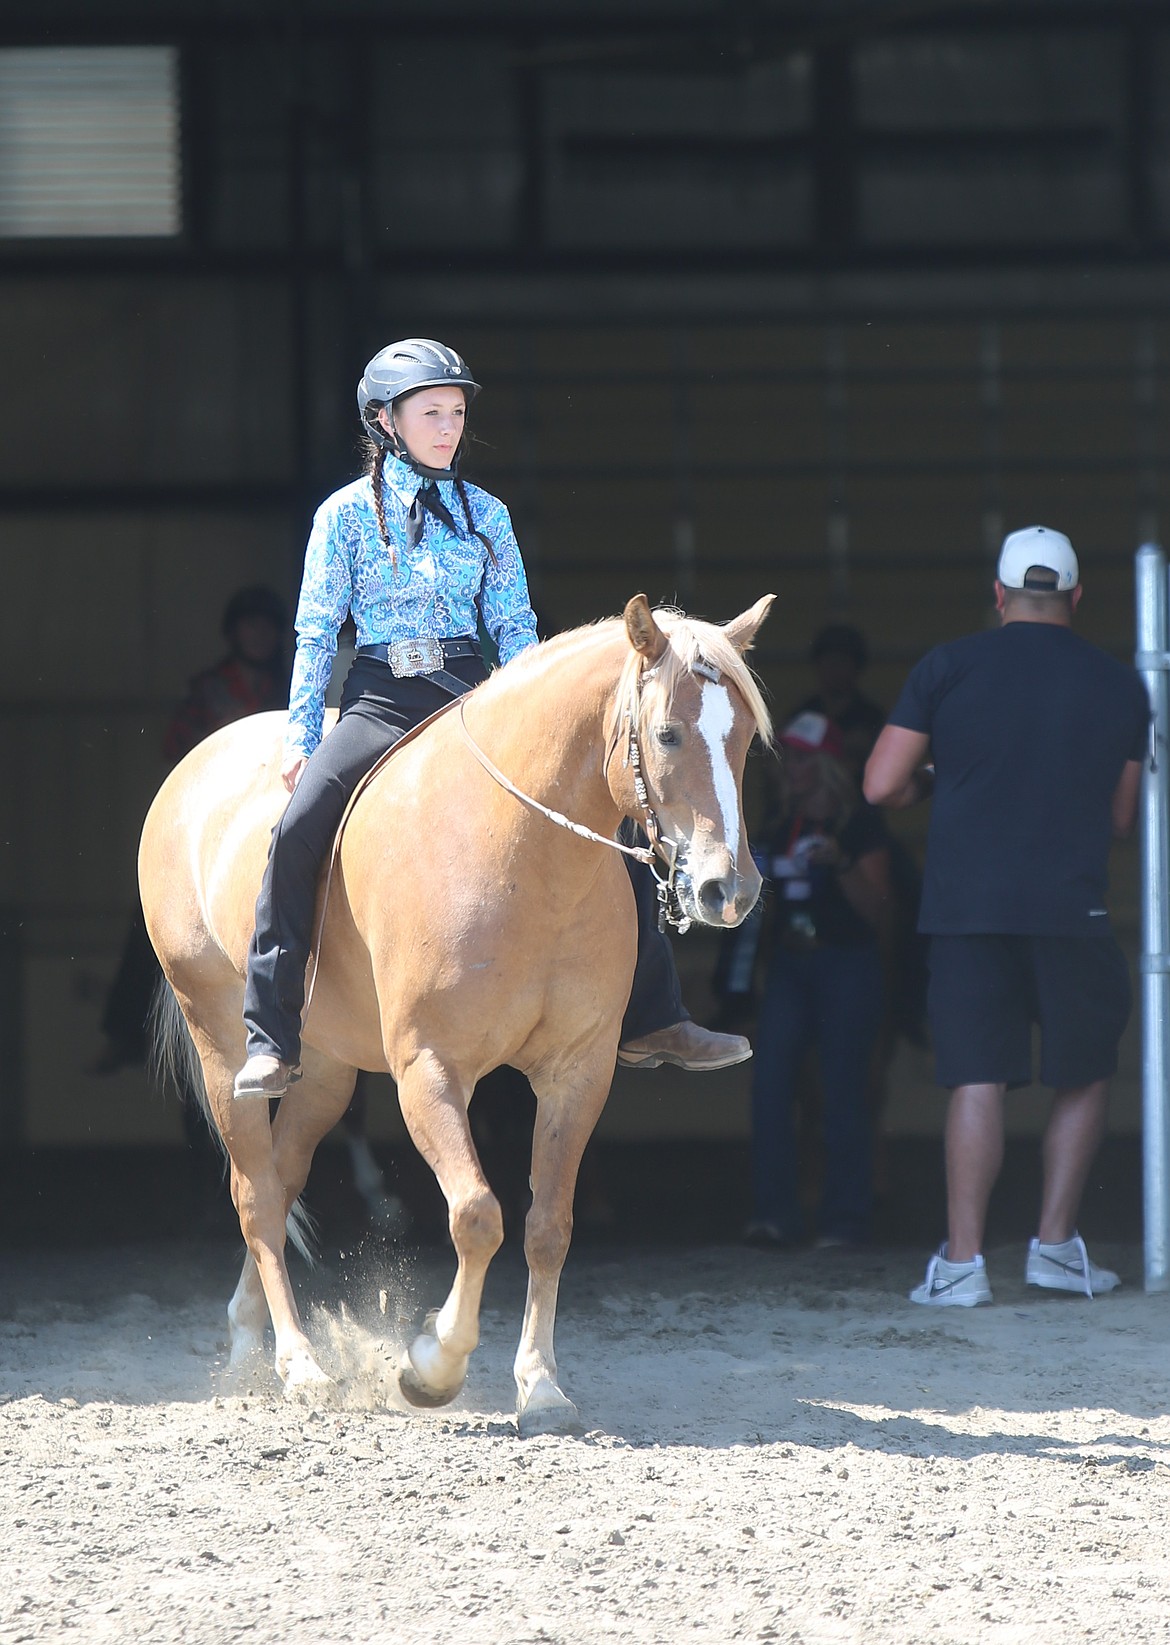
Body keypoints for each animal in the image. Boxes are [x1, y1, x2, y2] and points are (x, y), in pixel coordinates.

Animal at [141, 593, 774, 1435]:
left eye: (742, 738)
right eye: (668, 732)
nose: (727, 890)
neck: (519, 850)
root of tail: (192, 768)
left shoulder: (578, 1073)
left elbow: (548, 1226)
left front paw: (540, 1384)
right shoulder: (429, 1070)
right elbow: (477, 1214)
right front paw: (431, 1366)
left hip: (327, 1069)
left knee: (279, 1177)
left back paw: (252, 1340)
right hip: (220, 1044)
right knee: (253, 1191)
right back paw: (300, 1364)